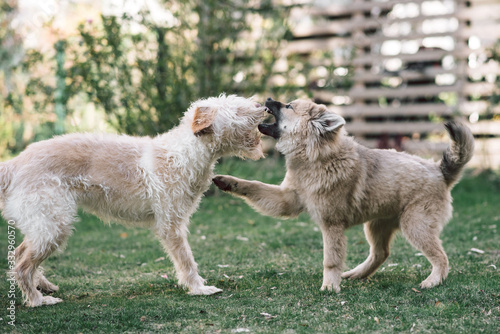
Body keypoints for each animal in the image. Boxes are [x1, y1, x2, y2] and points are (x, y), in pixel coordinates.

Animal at [0, 94, 268, 308]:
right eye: (236, 109)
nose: (264, 105)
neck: (185, 153)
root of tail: (14, 164)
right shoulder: (171, 226)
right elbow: (186, 260)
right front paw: (199, 288)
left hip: (43, 226)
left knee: (18, 254)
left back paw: (43, 286)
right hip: (54, 226)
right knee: (22, 266)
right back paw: (37, 300)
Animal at [213, 97, 474, 292]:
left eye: (289, 106)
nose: (267, 99)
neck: (314, 157)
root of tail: (439, 171)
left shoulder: (332, 225)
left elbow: (331, 260)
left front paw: (330, 286)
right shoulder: (287, 200)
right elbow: (254, 185)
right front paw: (228, 182)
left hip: (415, 226)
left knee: (440, 257)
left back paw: (434, 280)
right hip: (377, 225)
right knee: (380, 253)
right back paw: (357, 274)